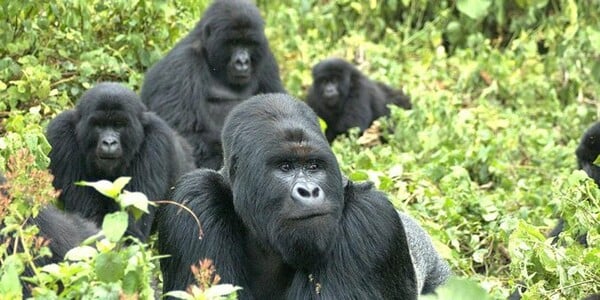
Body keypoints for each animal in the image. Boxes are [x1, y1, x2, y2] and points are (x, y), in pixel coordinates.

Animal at [46, 81, 195, 241]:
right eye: (99, 125)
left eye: (119, 124)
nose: (109, 142)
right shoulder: (60, 134)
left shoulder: (157, 140)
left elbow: (130, 229)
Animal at [144, 0, 288, 170]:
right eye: (233, 42)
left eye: (249, 43)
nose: (242, 62)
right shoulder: (181, 64)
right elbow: (186, 133)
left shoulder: (267, 59)